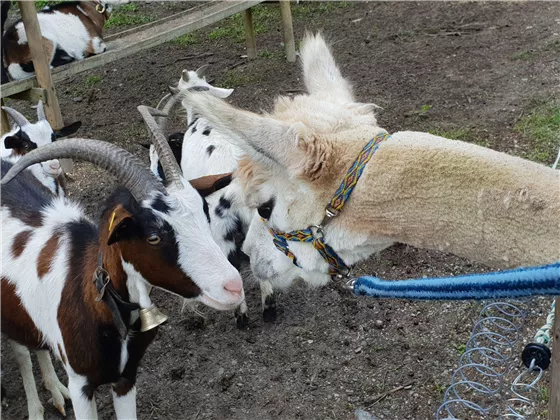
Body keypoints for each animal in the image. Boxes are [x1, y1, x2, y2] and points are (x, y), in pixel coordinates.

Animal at [0, 106, 245, 418]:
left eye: (205, 215)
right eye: (153, 236)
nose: (234, 287)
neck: (92, 294)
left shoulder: (126, 378)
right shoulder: (81, 384)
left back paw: (55, 392)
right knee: (21, 352)